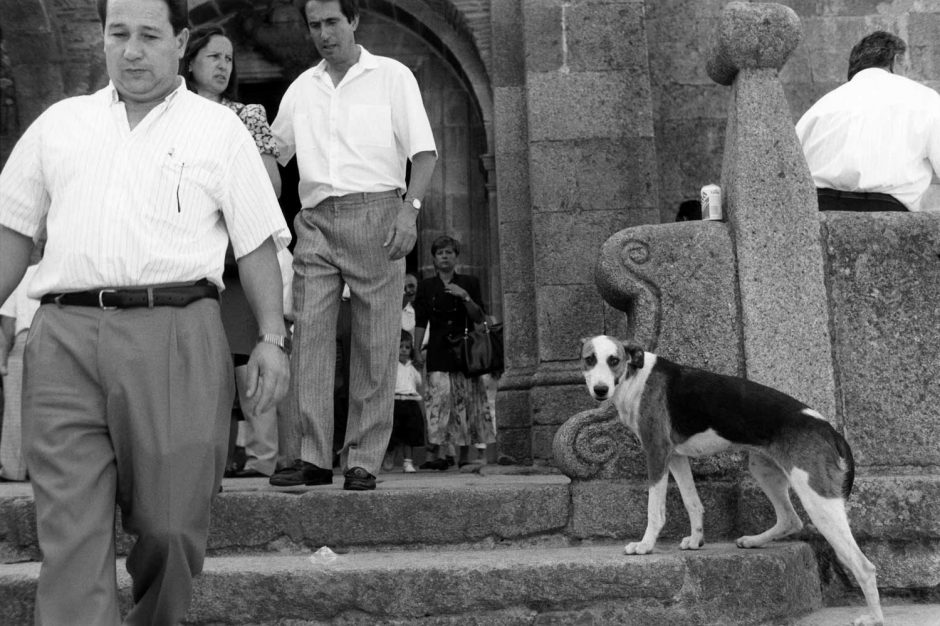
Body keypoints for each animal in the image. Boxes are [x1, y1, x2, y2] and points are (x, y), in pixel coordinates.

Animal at [580, 336, 880, 624]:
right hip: (763, 469)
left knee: (864, 566)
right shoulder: (676, 456)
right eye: (589, 359)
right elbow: (693, 503)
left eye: (614, 360)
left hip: (818, 500)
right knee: (790, 519)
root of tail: (830, 430)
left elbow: (655, 510)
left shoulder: (657, 452)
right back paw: (754, 541)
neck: (634, 376)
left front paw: (645, 545)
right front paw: (696, 539)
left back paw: (874, 618)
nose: (600, 390)